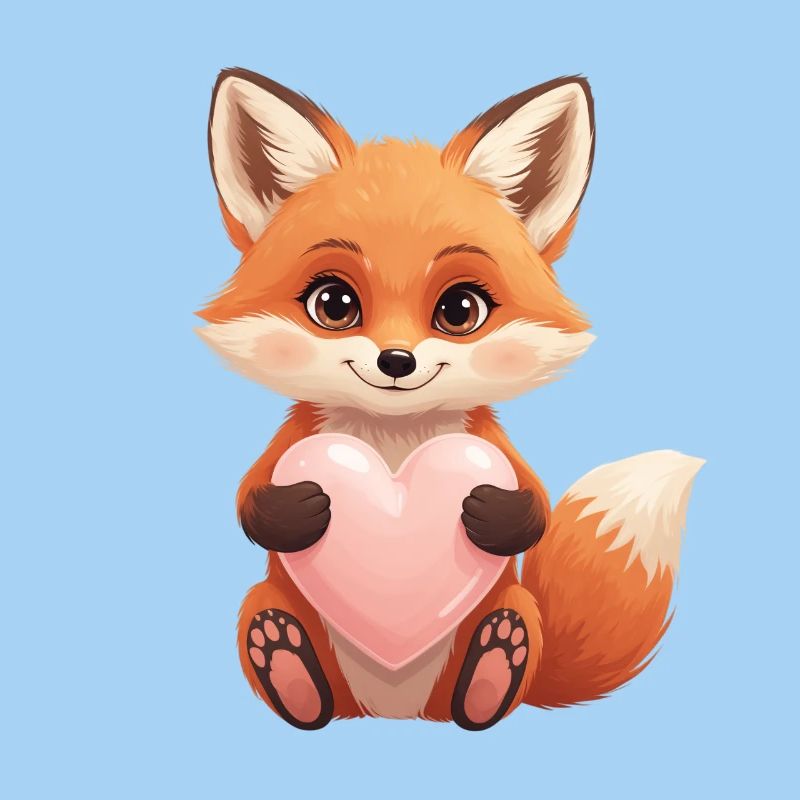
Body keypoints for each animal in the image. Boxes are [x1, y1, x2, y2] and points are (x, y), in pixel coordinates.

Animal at [197, 67, 704, 730]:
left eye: (460, 310)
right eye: (333, 304)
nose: (396, 361)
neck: (394, 445)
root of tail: (395, 714)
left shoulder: (491, 443)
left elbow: (533, 503)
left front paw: (494, 514)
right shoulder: (293, 439)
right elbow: (248, 496)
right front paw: (296, 508)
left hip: (511, 608)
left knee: (498, 653)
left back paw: (493, 667)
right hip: (268, 603)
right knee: (279, 638)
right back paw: (289, 665)